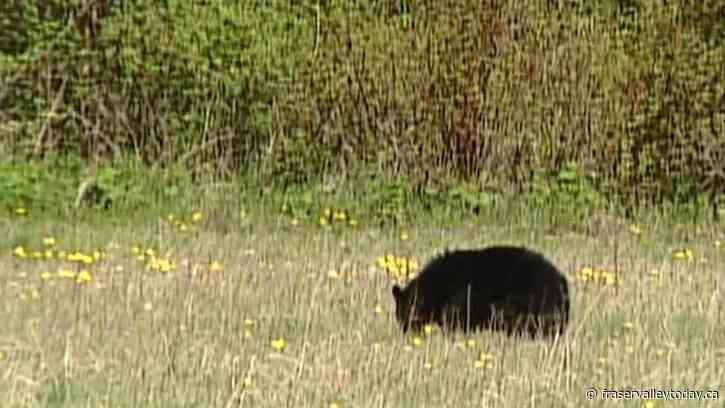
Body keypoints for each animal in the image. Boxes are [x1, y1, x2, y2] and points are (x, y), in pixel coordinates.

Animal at [391, 246, 570, 338]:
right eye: (398, 316)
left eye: (405, 314)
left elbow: (455, 317)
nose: (405, 332)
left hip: (527, 298)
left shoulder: (461, 297)